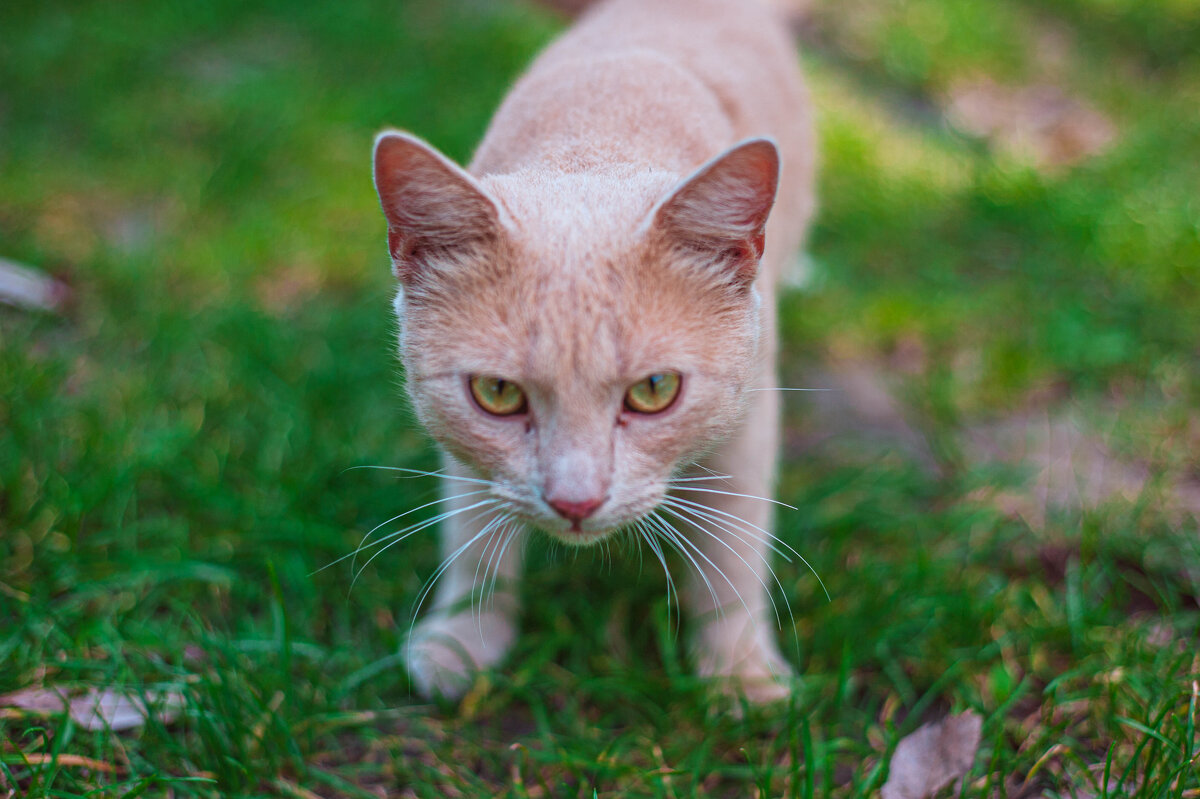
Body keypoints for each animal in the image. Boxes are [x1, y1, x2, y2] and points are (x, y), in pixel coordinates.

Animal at [372, 0, 816, 700]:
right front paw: (464, 639)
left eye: (654, 390)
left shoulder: (751, 412)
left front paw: (739, 672)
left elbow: (734, 549)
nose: (574, 501)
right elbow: (472, 532)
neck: (599, 132)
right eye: (497, 393)